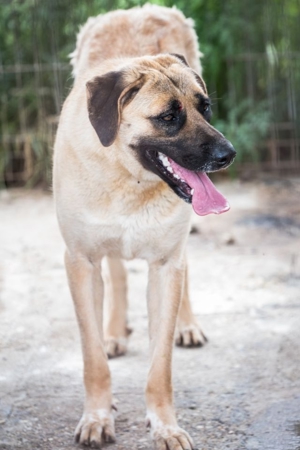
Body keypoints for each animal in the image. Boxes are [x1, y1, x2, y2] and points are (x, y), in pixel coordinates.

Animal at [53, 4, 237, 450]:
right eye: (168, 117)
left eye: (205, 108)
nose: (229, 154)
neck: (129, 179)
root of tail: (136, 9)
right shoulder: (80, 262)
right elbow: (92, 358)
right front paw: (98, 416)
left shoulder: (166, 266)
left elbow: (160, 365)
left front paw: (165, 426)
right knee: (117, 271)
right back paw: (115, 331)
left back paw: (188, 326)